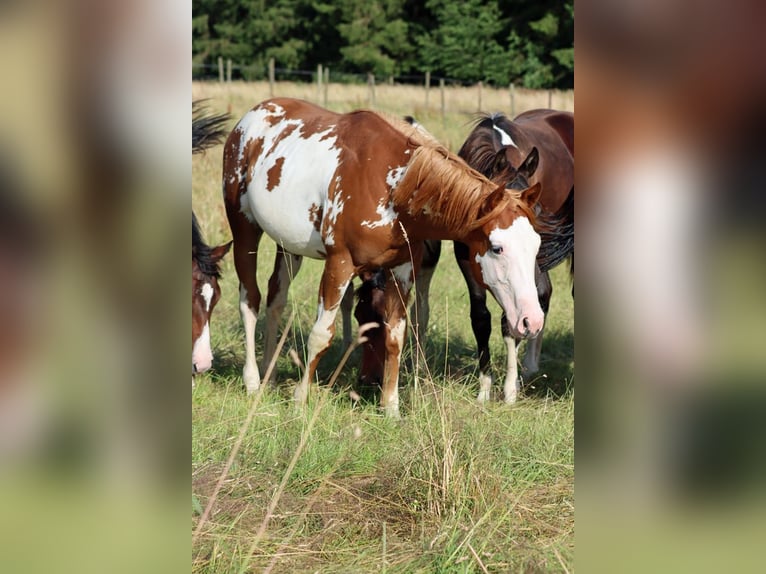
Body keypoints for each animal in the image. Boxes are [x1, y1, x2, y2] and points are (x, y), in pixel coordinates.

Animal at [222, 97, 544, 417]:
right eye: (497, 248)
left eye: (536, 245)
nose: (532, 320)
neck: (394, 187)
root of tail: (251, 117)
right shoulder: (339, 265)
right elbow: (321, 335)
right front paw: (301, 400)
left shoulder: (401, 271)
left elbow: (394, 337)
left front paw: (390, 407)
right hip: (245, 230)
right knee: (250, 300)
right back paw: (252, 381)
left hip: (288, 246)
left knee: (276, 299)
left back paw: (270, 375)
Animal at [355, 110, 574, 403]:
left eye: (535, 212)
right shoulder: (467, 262)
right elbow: (481, 318)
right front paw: (484, 389)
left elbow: (512, 318)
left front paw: (509, 390)